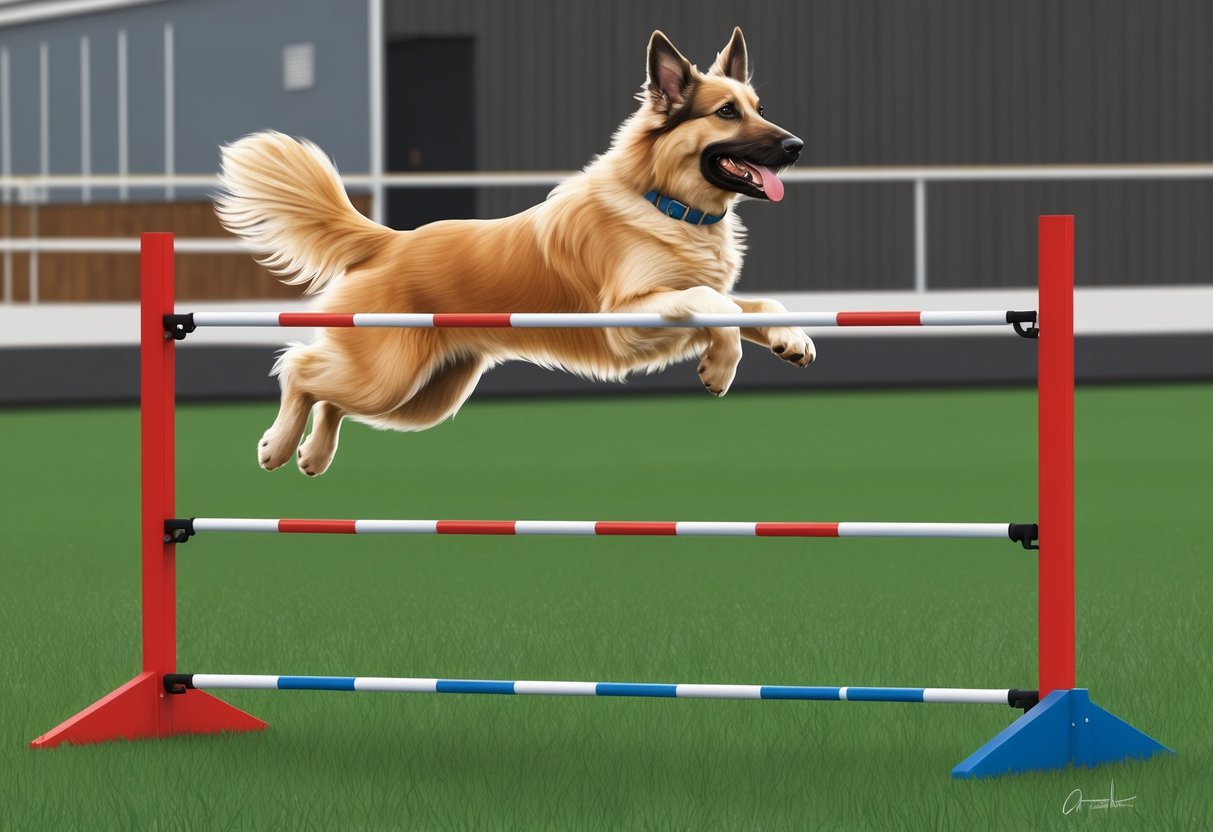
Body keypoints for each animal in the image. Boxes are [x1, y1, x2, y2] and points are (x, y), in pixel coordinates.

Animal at [218, 27, 815, 475]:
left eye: (758, 107)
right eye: (726, 113)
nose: (796, 147)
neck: (665, 205)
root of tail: (391, 239)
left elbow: (752, 306)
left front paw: (790, 338)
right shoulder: (625, 319)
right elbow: (713, 305)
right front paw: (720, 369)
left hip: (421, 396)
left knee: (328, 394)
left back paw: (313, 454)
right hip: (387, 379)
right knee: (300, 369)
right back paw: (277, 445)